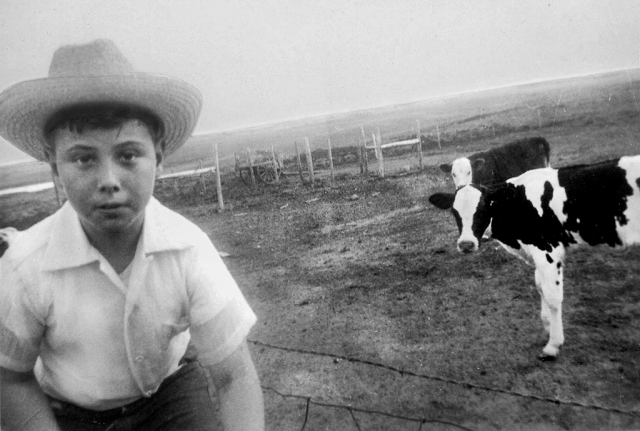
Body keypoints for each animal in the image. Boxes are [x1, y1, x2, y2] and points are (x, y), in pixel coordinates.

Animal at [428, 156, 640, 362]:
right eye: (454, 212)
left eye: (482, 209)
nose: (466, 244)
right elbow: (540, 286)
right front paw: (547, 327)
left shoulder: (548, 251)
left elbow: (553, 296)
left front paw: (553, 345)